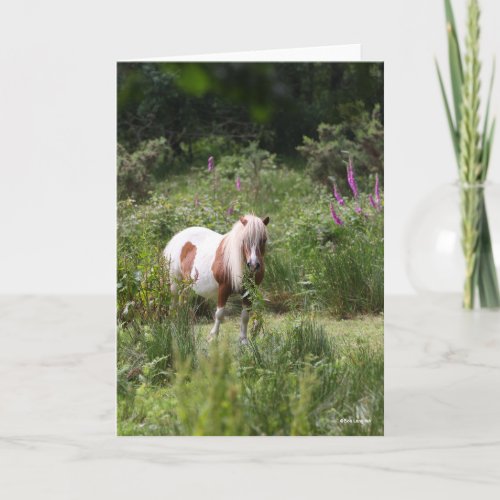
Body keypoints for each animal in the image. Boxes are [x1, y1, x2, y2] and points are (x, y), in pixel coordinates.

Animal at [164, 215, 270, 344]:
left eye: (263, 239)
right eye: (244, 240)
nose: (254, 265)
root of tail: (178, 237)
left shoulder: (248, 292)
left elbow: (245, 316)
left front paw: (243, 339)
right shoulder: (223, 288)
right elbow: (219, 313)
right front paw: (213, 336)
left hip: (187, 285)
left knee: (183, 303)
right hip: (175, 283)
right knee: (173, 304)